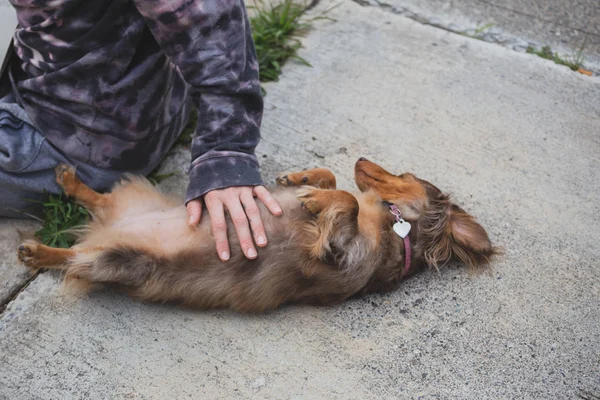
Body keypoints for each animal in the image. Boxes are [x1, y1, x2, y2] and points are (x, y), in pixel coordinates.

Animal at [16, 159, 494, 312]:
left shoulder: (343, 255)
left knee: (73, 257)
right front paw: (303, 181)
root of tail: (109, 230)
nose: (361, 158)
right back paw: (70, 180)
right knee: (96, 200)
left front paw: (314, 200)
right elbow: (334, 181)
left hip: (120, 260)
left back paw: (37, 252)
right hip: (128, 202)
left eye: (405, 176)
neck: (394, 231)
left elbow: (347, 202)